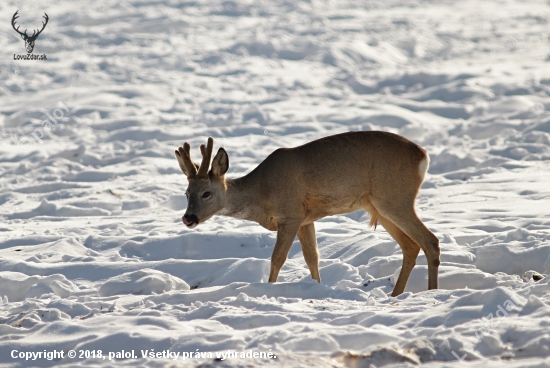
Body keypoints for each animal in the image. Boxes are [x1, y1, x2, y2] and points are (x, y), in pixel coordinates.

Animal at [175, 132, 442, 296]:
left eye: (206, 193)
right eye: (186, 193)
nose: (188, 218)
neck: (262, 194)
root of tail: (424, 155)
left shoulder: (290, 214)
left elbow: (277, 258)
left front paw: (270, 289)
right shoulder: (306, 220)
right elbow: (312, 257)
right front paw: (318, 288)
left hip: (395, 198)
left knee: (430, 240)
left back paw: (431, 293)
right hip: (379, 206)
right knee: (411, 246)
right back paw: (395, 295)